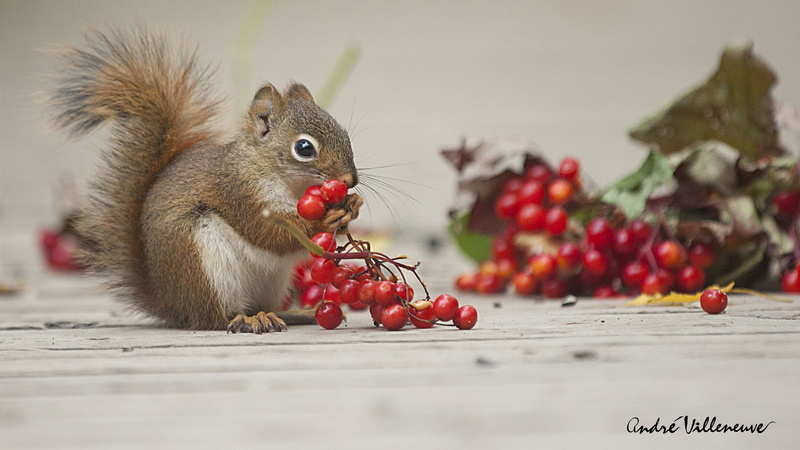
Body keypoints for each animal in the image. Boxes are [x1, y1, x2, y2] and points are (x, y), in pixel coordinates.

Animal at [49, 29, 363, 333]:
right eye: (304, 148)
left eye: (344, 134)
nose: (350, 179)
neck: (284, 182)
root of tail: (172, 306)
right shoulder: (238, 193)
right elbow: (269, 233)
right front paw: (324, 220)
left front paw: (353, 205)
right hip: (204, 262)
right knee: (215, 319)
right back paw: (247, 320)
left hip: (271, 281)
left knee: (259, 306)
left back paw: (293, 314)